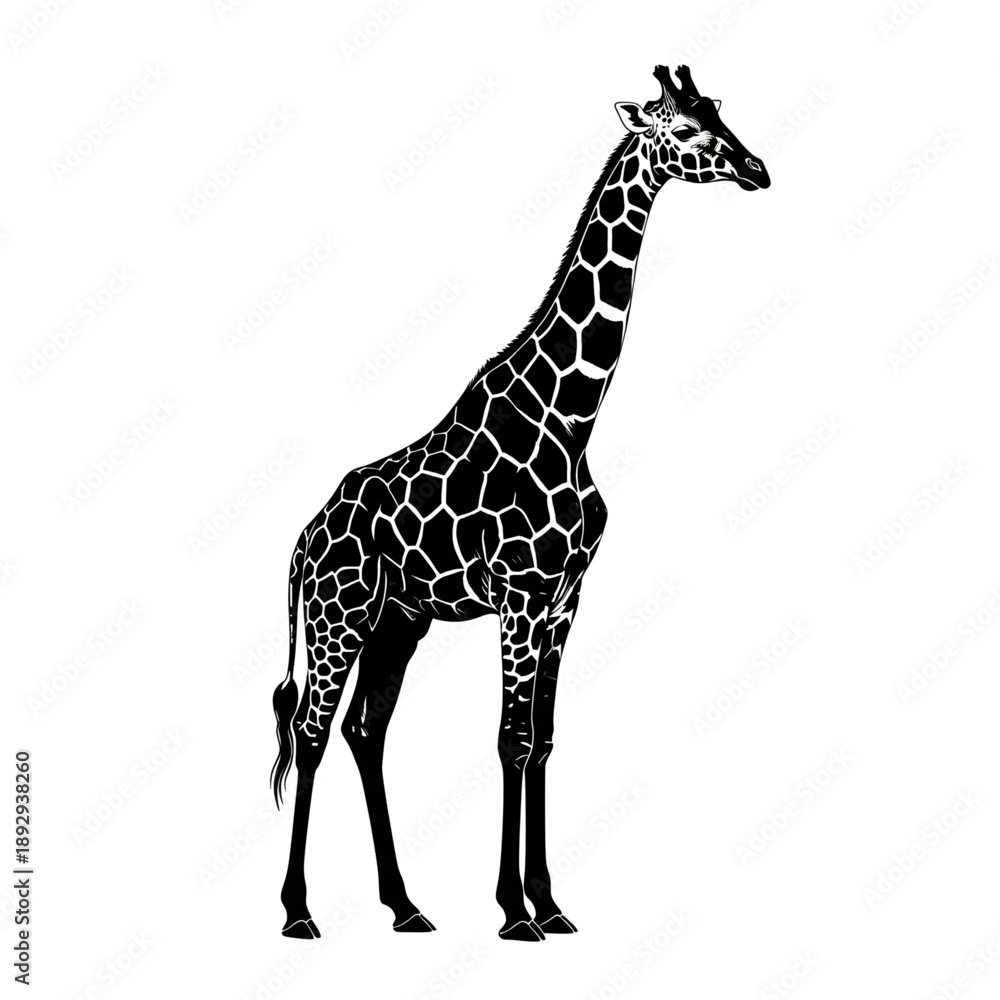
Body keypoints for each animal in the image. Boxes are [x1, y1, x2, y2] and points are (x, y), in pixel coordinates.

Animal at [270, 64, 769, 942]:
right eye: (680, 129)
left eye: (718, 111)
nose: (757, 169)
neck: (571, 416)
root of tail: (301, 541)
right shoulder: (521, 594)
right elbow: (509, 739)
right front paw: (513, 912)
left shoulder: (566, 597)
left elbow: (542, 740)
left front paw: (552, 903)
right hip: (339, 615)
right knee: (311, 732)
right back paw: (298, 912)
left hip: (398, 620)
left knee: (367, 730)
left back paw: (406, 906)